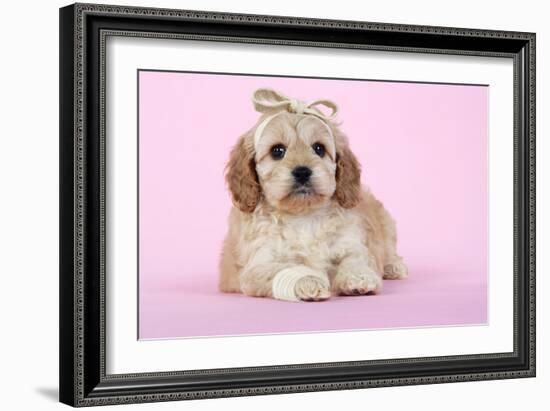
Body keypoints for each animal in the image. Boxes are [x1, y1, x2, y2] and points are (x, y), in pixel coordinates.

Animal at [218, 88, 408, 302]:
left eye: (319, 148)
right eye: (277, 151)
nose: (302, 171)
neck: (303, 215)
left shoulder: (351, 243)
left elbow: (355, 258)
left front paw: (359, 278)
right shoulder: (259, 265)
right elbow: (288, 267)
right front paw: (309, 281)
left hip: (387, 224)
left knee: (389, 249)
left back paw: (394, 267)